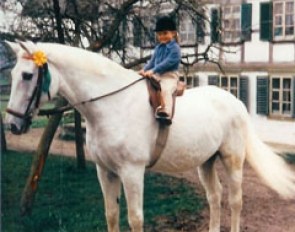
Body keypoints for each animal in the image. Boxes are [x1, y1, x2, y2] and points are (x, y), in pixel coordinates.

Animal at [4, 41, 295, 232]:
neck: (113, 104)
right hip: (206, 161)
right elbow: (111, 214)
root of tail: (235, 102)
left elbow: (135, 218)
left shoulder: (132, 172)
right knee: (215, 196)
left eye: (28, 75)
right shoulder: (104, 171)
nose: (12, 124)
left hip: (232, 159)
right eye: (13, 74)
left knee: (235, 200)